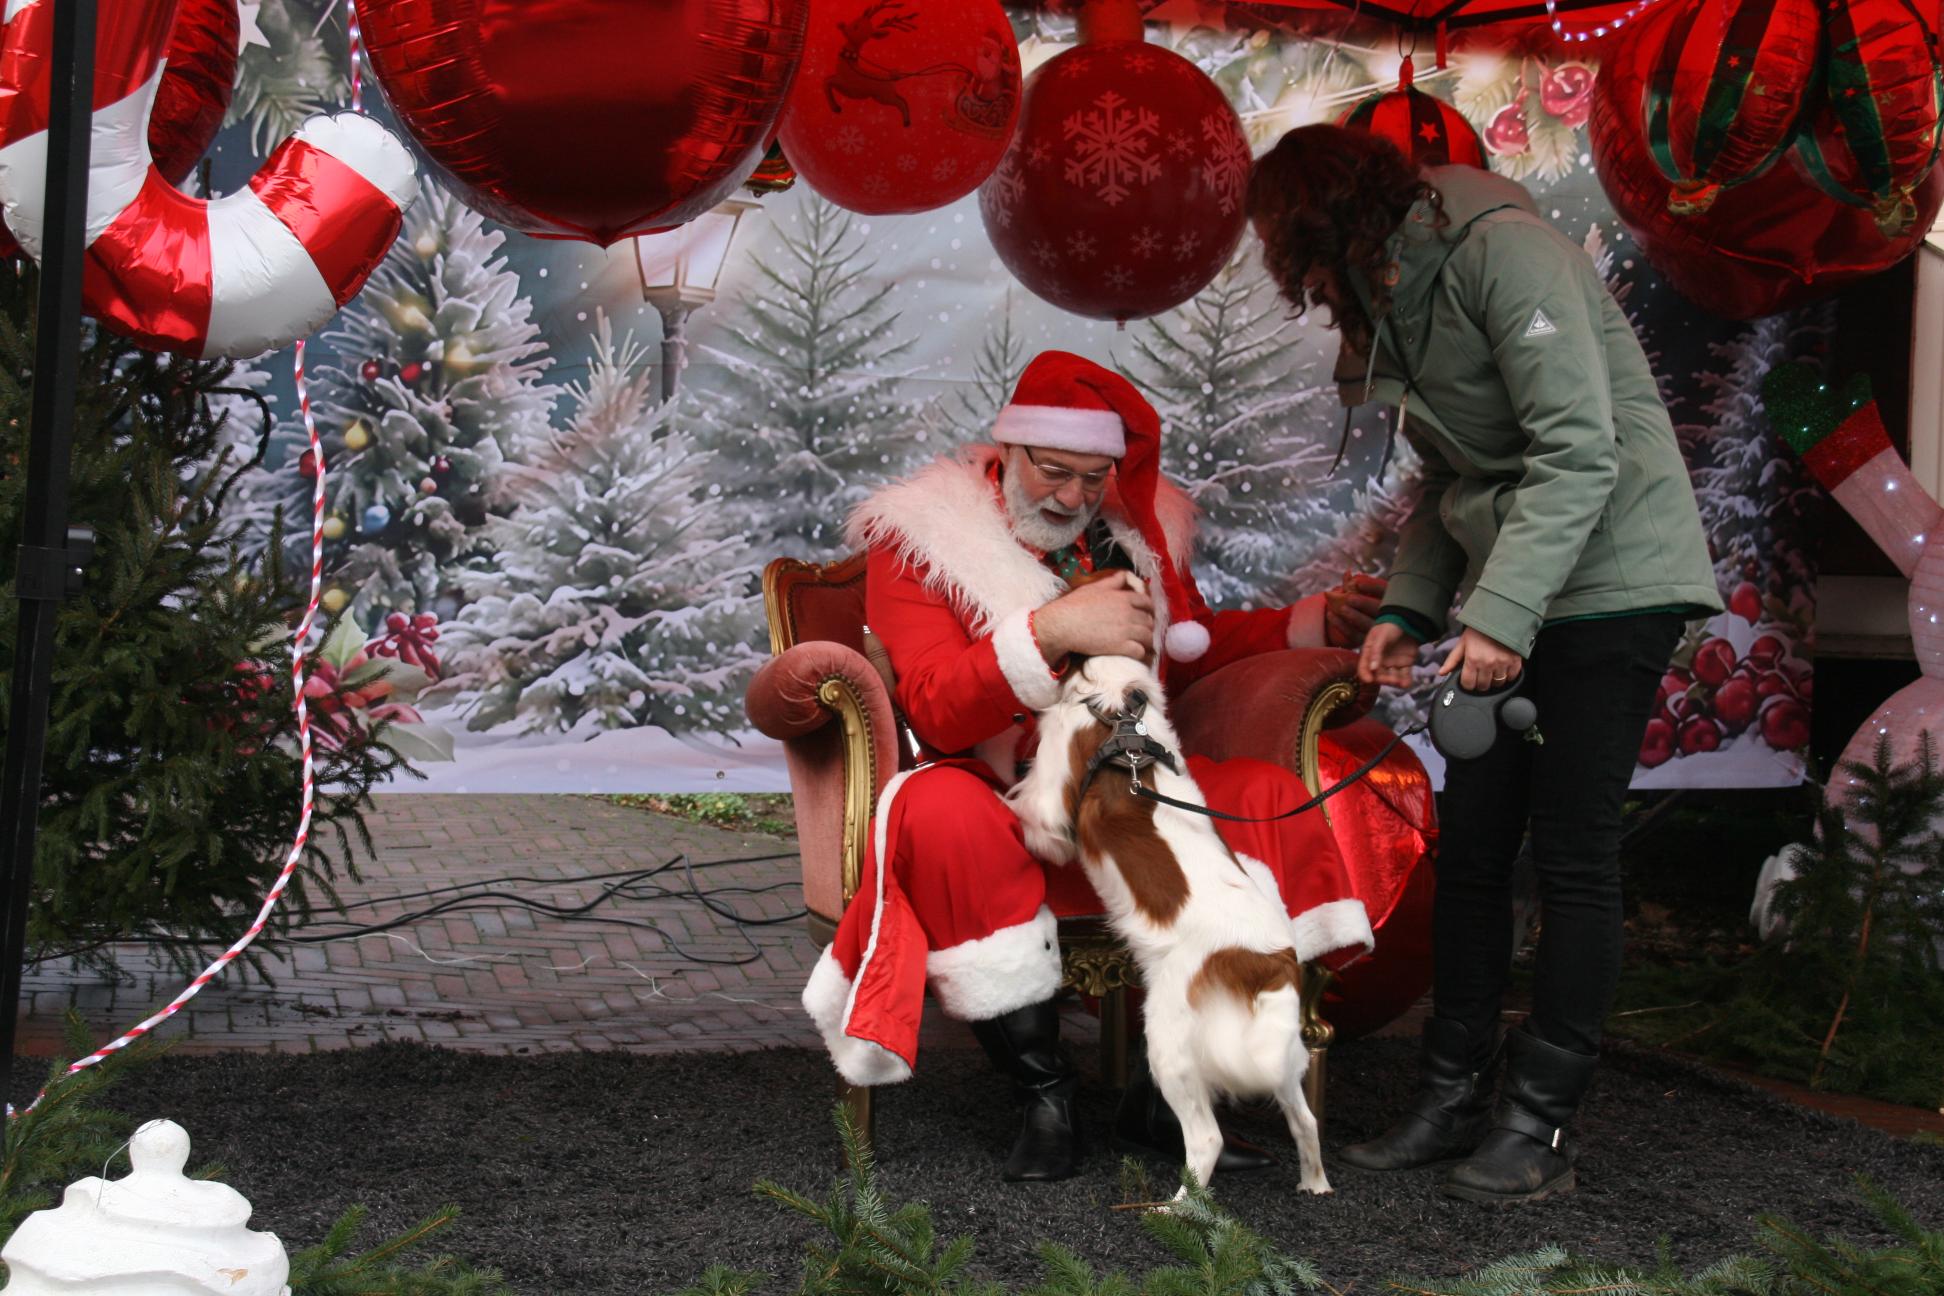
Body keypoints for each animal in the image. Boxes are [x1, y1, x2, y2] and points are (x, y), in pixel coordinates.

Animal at [1006, 651, 1331, 1198]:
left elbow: (1029, 813)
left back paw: (1177, 1207)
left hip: (1168, 1039)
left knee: (1206, 1139)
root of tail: (1269, 959)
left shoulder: (1050, 800)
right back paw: (1316, 1184)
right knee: (1305, 1120)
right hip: (1279, 1049)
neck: (1119, 713)